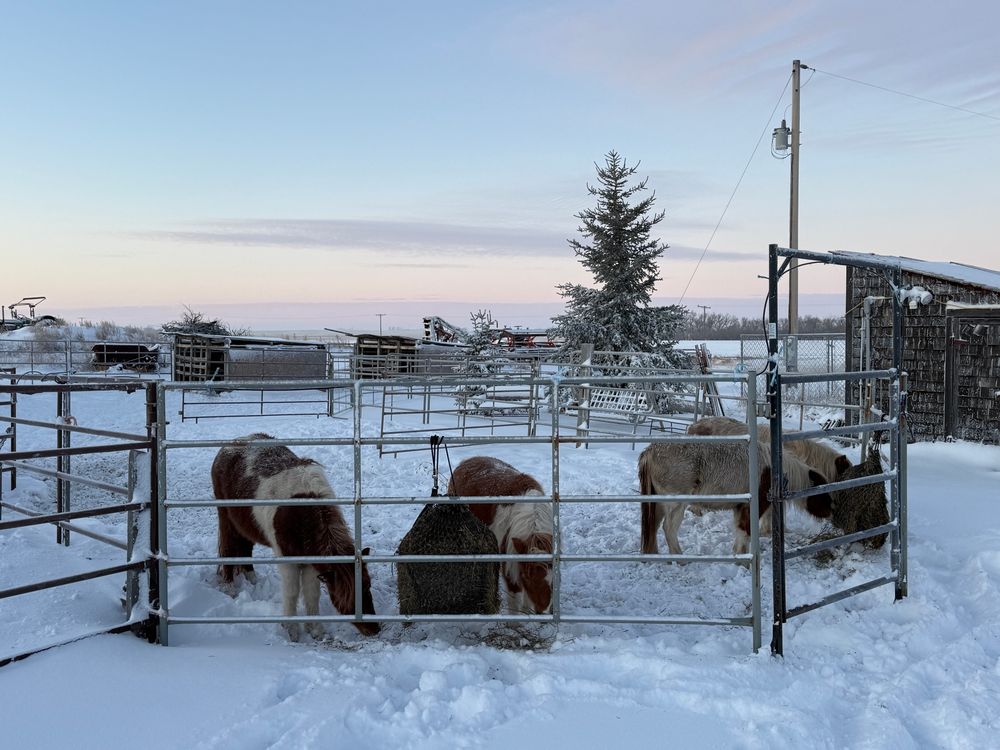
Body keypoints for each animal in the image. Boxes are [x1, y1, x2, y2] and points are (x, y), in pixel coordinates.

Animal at [211, 433, 380, 639]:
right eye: (350, 593)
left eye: (368, 585)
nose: (374, 629)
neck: (301, 514)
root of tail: (229, 446)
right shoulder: (287, 559)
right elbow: (292, 592)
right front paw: (291, 630)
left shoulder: (311, 561)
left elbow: (311, 593)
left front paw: (315, 629)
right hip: (226, 518)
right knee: (228, 549)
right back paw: (229, 590)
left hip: (244, 524)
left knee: (245, 549)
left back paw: (253, 581)